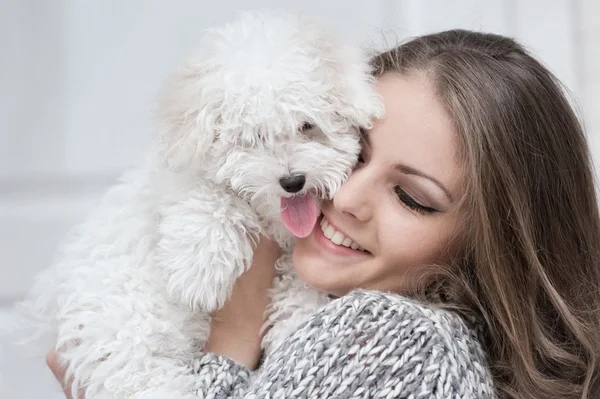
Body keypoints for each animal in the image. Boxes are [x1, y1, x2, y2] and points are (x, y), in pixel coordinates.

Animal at [18, 10, 384, 399]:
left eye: (307, 125)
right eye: (251, 138)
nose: (292, 181)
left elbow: (299, 284)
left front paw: (297, 321)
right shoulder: (176, 180)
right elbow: (208, 197)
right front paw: (199, 275)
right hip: (124, 329)